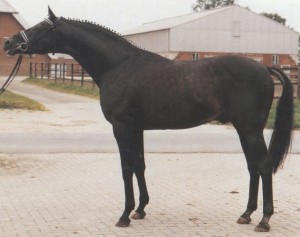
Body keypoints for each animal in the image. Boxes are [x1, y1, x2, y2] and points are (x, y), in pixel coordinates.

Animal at [3, 8, 292, 231]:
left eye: (40, 27)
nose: (8, 43)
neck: (119, 65)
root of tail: (264, 67)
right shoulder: (136, 128)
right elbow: (140, 165)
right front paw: (140, 210)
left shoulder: (122, 127)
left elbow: (126, 168)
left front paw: (124, 216)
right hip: (244, 129)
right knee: (253, 167)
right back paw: (246, 214)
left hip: (250, 129)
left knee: (263, 166)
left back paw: (264, 220)